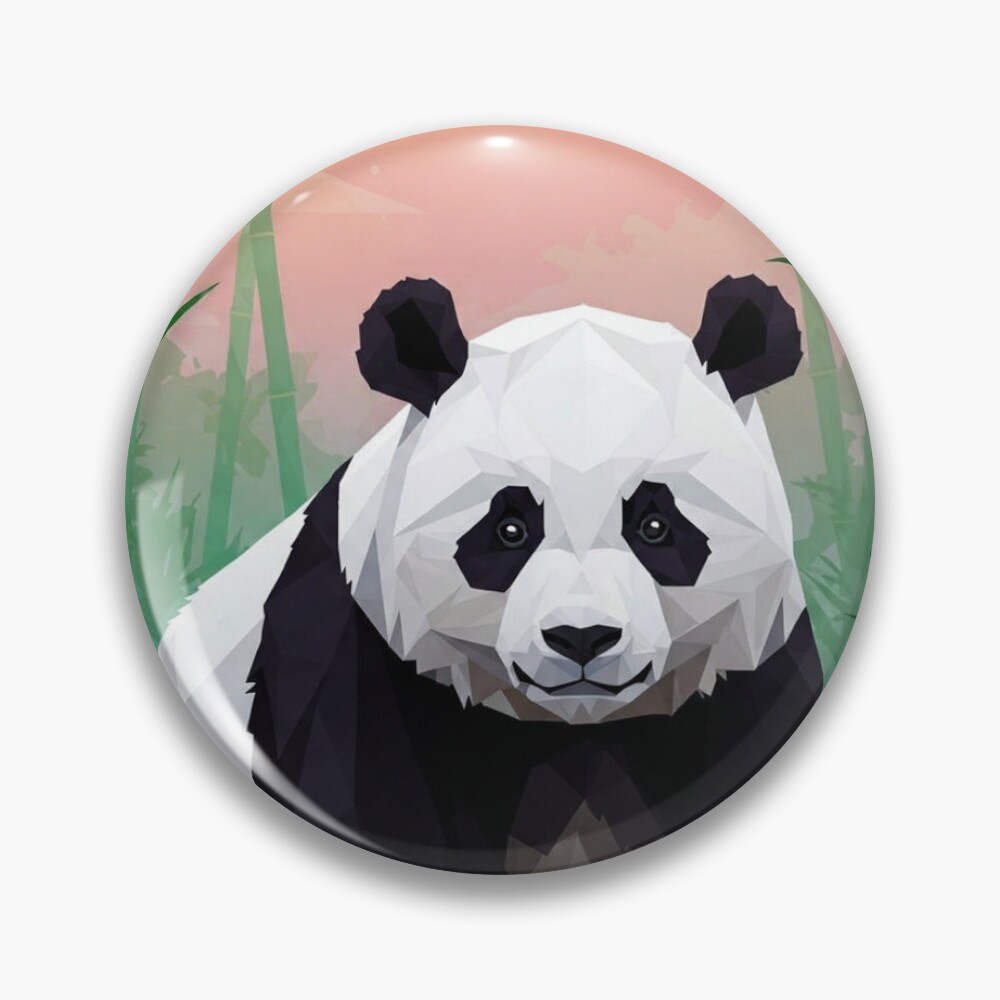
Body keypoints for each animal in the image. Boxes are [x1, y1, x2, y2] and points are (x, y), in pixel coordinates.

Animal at [242, 275, 823, 873]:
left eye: (655, 525)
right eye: (510, 529)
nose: (582, 637)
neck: (574, 730)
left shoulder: (741, 680)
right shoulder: (359, 677)